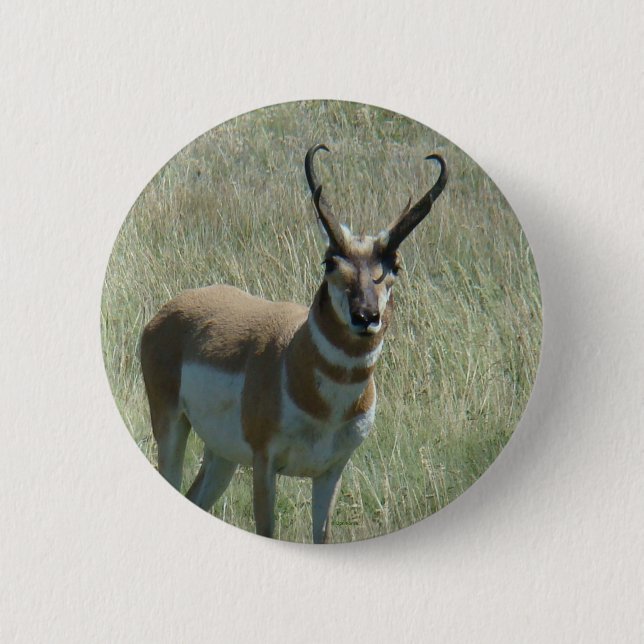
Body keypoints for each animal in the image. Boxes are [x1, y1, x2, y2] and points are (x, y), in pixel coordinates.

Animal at [140, 144, 447, 543]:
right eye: (330, 262)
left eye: (394, 264)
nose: (365, 316)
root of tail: (169, 309)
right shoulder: (264, 464)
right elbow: (267, 530)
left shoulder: (331, 472)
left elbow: (323, 535)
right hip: (171, 426)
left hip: (221, 454)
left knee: (196, 497)